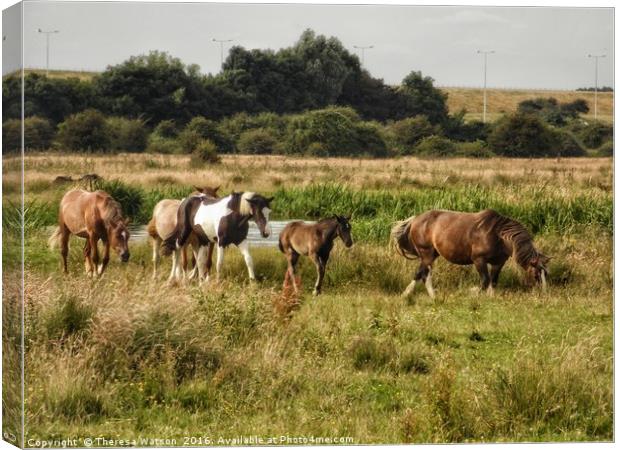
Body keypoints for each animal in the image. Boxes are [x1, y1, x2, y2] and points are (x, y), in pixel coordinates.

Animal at [392, 209, 552, 298]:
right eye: (536, 274)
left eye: (546, 274)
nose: (544, 294)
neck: (498, 235)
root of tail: (414, 220)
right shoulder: (479, 260)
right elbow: (485, 281)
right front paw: (473, 292)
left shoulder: (499, 262)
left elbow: (493, 281)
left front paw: (490, 297)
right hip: (427, 254)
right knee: (421, 274)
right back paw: (412, 294)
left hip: (432, 255)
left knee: (424, 274)